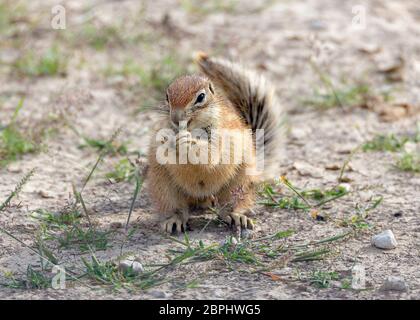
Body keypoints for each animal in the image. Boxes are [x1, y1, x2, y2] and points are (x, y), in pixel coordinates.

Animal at [145, 52, 282, 232]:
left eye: (201, 97)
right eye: (167, 96)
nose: (175, 118)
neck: (193, 128)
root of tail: (202, 195)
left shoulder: (221, 134)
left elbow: (211, 154)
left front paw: (188, 142)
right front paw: (168, 142)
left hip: (239, 182)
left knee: (230, 206)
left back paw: (236, 216)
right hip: (163, 184)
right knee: (175, 206)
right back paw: (174, 219)